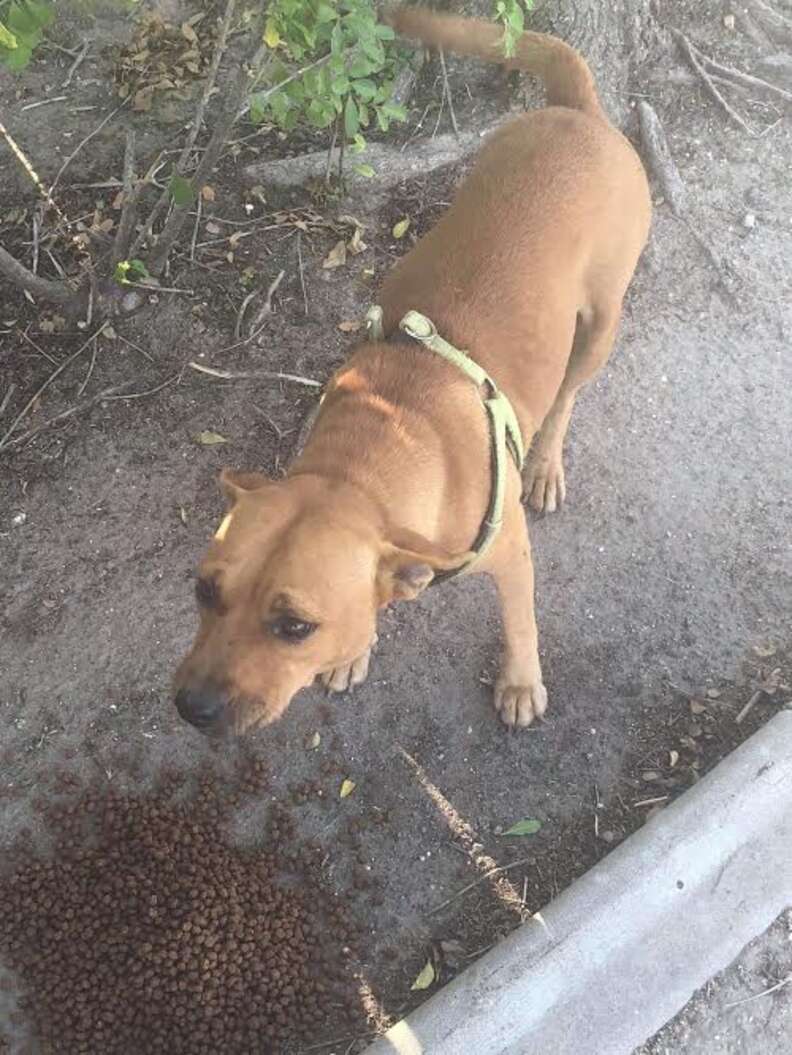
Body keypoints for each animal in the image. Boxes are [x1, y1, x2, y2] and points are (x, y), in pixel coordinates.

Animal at [172, 8, 649, 738]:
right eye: (204, 588)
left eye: (294, 626)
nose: (191, 707)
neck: (372, 451)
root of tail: (581, 112)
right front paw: (355, 651)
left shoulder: (512, 555)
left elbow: (521, 623)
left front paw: (520, 681)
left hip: (601, 323)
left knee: (569, 393)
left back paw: (545, 465)